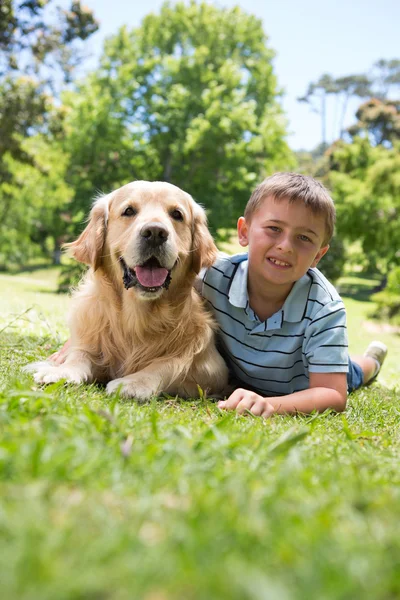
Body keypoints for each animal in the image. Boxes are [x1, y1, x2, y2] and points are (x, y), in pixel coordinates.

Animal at [26, 180, 228, 400]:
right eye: (129, 211)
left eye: (177, 214)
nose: (155, 233)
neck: (136, 317)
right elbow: (80, 355)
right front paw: (62, 371)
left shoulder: (213, 368)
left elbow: (169, 364)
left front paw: (134, 383)